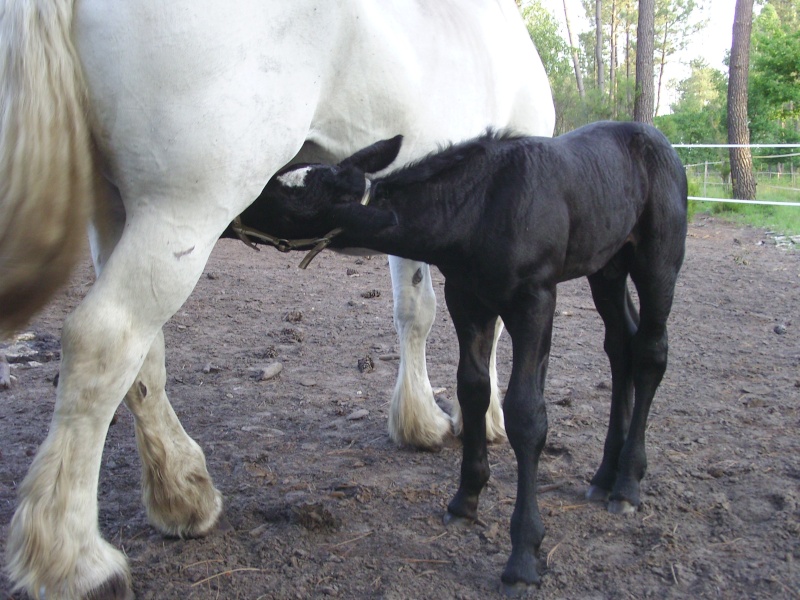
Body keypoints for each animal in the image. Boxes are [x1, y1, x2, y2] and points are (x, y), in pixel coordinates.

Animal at [0, 2, 552, 596]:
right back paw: (73, 558)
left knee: (140, 357)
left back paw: (182, 493)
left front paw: (419, 420)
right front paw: (484, 416)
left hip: (117, 207)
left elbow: (414, 311)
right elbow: (479, 324)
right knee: (104, 338)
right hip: (184, 209)